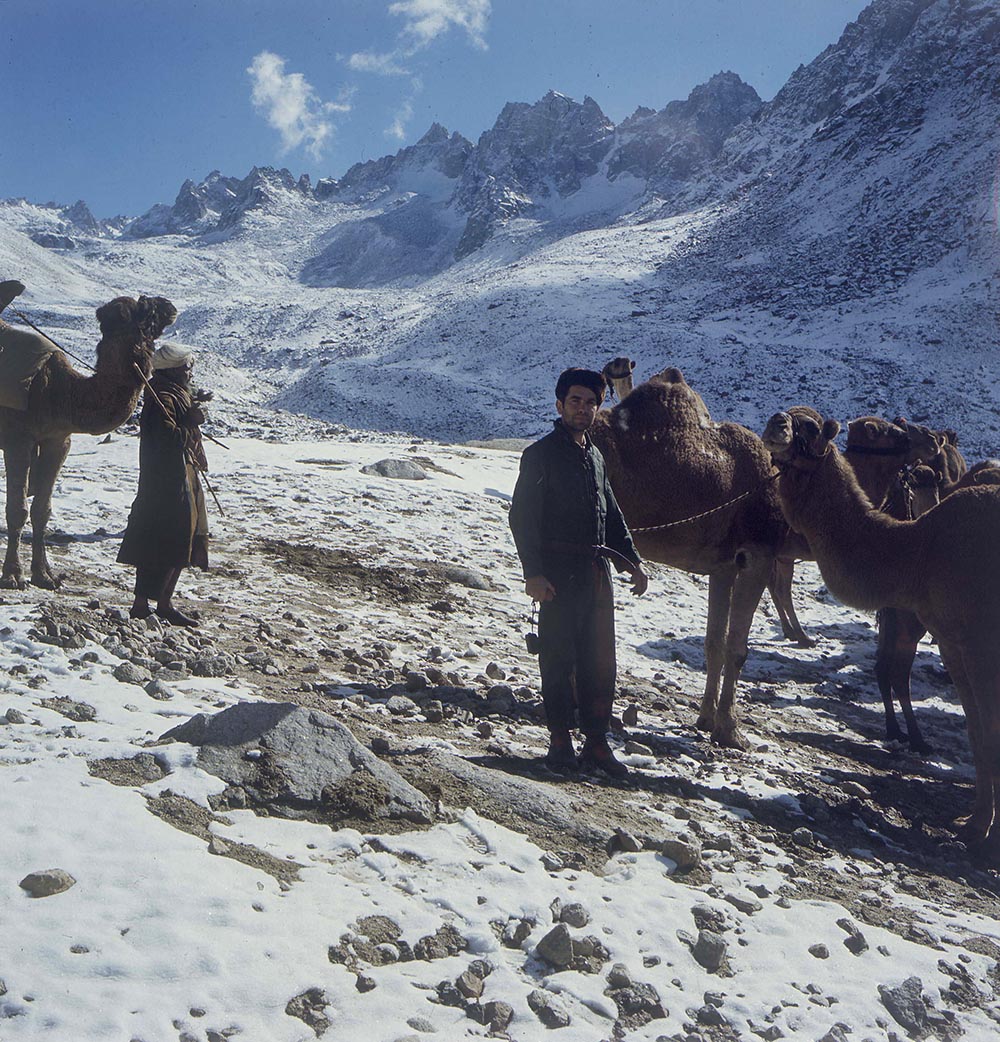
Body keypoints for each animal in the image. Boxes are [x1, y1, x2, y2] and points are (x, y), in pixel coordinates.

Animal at [0, 295, 178, 587]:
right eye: (145, 309)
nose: (169, 306)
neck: (60, 391)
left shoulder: (58, 439)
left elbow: (42, 510)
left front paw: (45, 575)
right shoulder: (18, 437)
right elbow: (18, 509)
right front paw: (13, 575)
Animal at [587, 366, 787, 750]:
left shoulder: (725, 564)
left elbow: (715, 643)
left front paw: (706, 719)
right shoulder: (758, 554)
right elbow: (737, 648)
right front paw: (731, 731)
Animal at [762, 404, 999, 854]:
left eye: (810, 427)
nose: (775, 423)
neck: (921, 550)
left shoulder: (982, 641)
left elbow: (990, 729)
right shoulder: (953, 642)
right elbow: (977, 730)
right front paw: (974, 825)